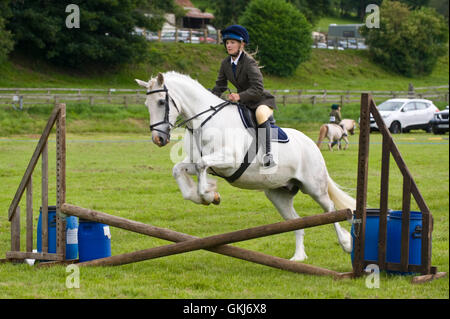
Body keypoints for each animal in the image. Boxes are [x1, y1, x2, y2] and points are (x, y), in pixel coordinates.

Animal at [134, 72, 356, 262]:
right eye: (146, 104)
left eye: (161, 102)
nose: (158, 139)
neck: (204, 122)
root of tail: (311, 144)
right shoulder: (198, 163)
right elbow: (180, 170)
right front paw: (206, 195)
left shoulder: (229, 161)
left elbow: (202, 165)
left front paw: (208, 195)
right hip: (278, 194)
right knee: (296, 222)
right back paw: (298, 257)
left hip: (314, 187)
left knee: (330, 209)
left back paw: (346, 244)